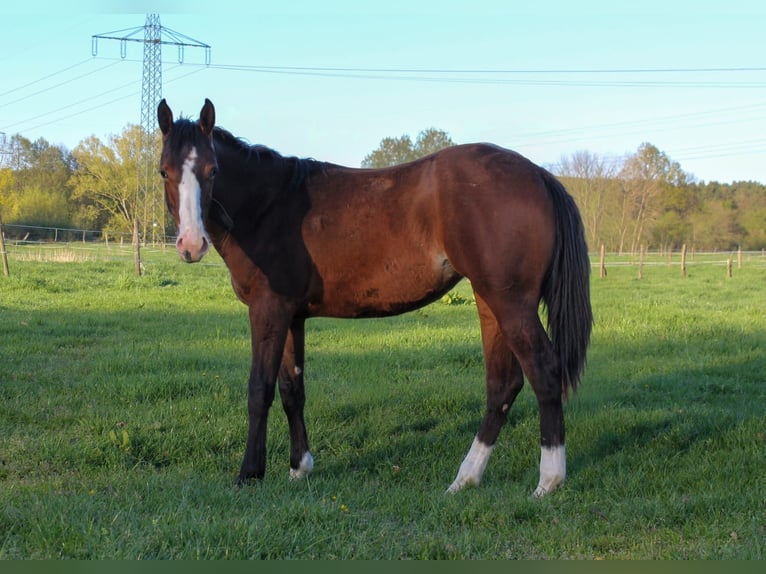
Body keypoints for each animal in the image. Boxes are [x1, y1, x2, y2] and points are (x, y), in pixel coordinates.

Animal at [157, 98, 592, 497]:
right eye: (165, 170)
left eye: (213, 170)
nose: (191, 245)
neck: (269, 205)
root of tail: (538, 174)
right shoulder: (291, 316)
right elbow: (292, 390)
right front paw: (300, 468)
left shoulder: (268, 312)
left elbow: (259, 390)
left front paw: (249, 473)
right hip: (490, 301)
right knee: (502, 385)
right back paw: (465, 479)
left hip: (512, 303)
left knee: (544, 373)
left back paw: (548, 482)